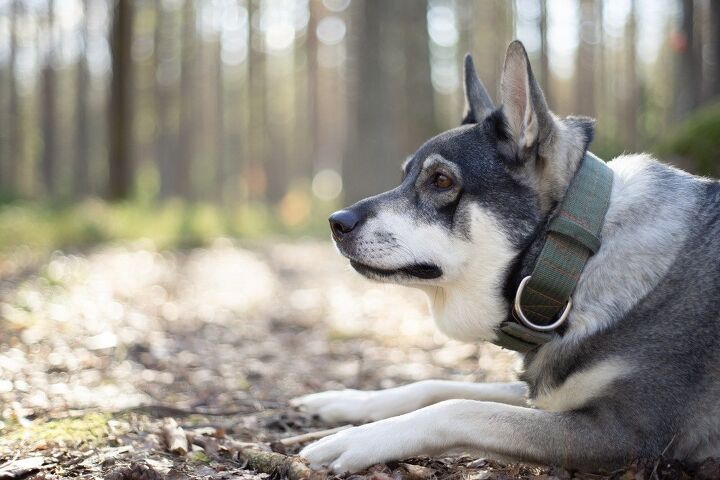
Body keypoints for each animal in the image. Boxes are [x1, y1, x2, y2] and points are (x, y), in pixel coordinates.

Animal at [290, 40, 720, 472]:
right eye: (404, 177)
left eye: (441, 180)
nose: (336, 223)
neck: (578, 263)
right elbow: (437, 384)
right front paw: (348, 401)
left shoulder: (624, 434)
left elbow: (458, 407)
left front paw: (357, 438)